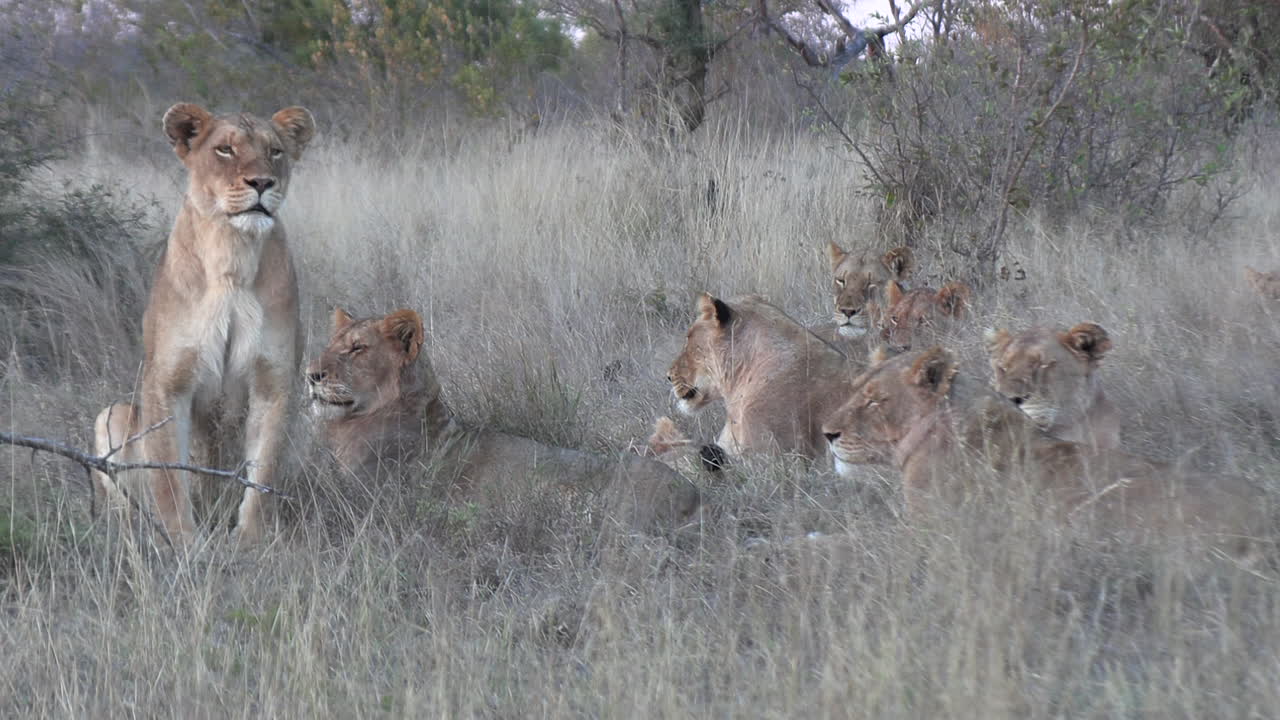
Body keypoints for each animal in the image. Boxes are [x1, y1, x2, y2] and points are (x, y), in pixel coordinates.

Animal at [92, 103, 315, 546]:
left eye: (275, 151)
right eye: (225, 150)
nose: (262, 182)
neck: (232, 254)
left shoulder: (275, 380)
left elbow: (264, 468)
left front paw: (251, 539)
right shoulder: (167, 380)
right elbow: (167, 470)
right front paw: (183, 541)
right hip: (112, 412)